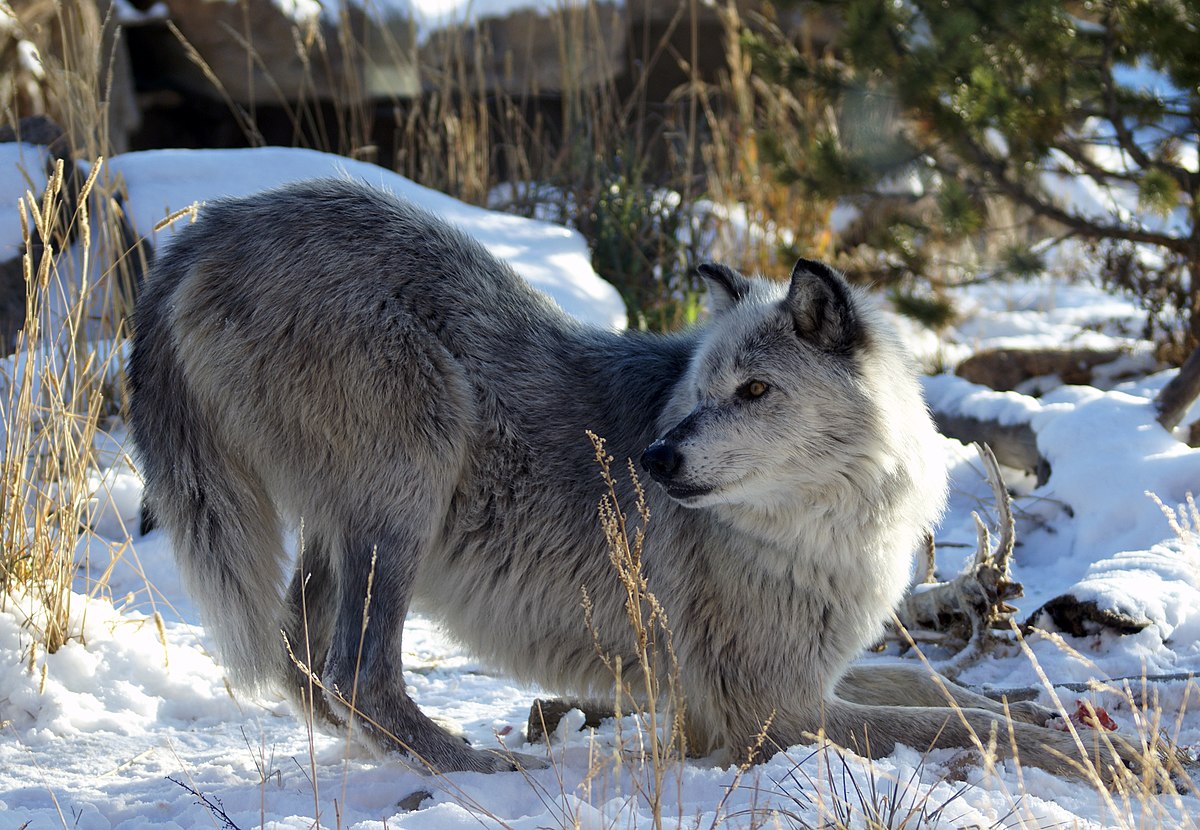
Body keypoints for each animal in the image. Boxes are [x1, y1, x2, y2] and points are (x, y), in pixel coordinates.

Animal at [131, 176, 1132, 777]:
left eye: (755, 390)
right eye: (702, 390)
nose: (653, 459)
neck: (817, 526)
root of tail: (219, 220)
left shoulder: (813, 681)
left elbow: (951, 694)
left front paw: (1080, 715)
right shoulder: (765, 712)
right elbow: (959, 724)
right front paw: (1096, 763)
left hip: (347, 526)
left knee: (306, 659)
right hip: (410, 486)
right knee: (356, 675)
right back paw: (484, 770)